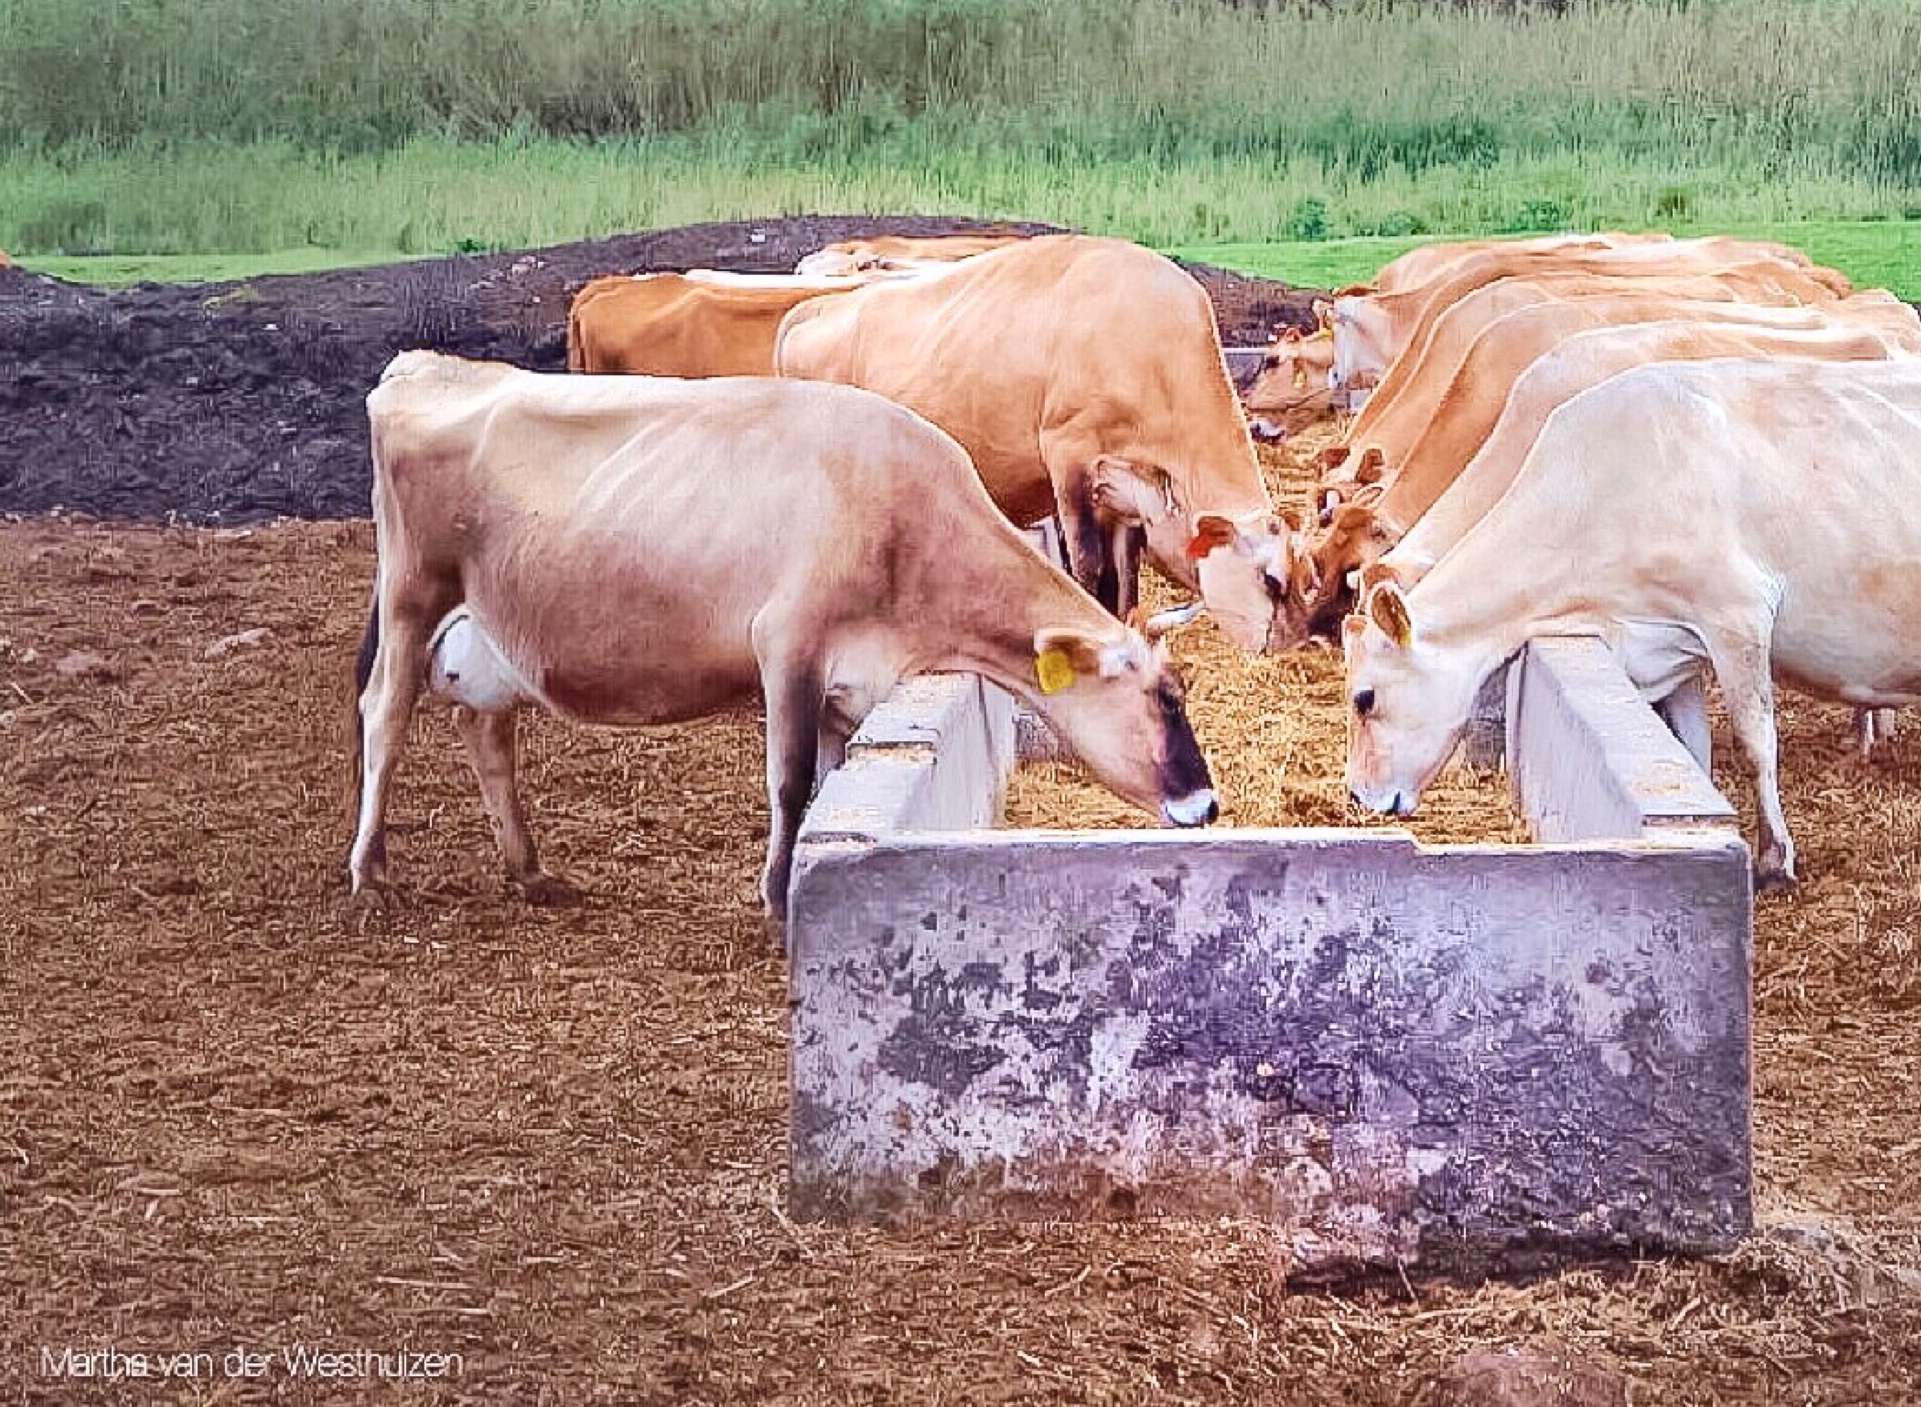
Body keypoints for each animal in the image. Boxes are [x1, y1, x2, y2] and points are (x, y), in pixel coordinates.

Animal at [1344, 359, 1921, 891]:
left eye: (1364, 698)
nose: (1357, 796)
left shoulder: (1737, 613)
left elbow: (1757, 743)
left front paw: (1774, 860)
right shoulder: (1677, 642)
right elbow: (1691, 745)